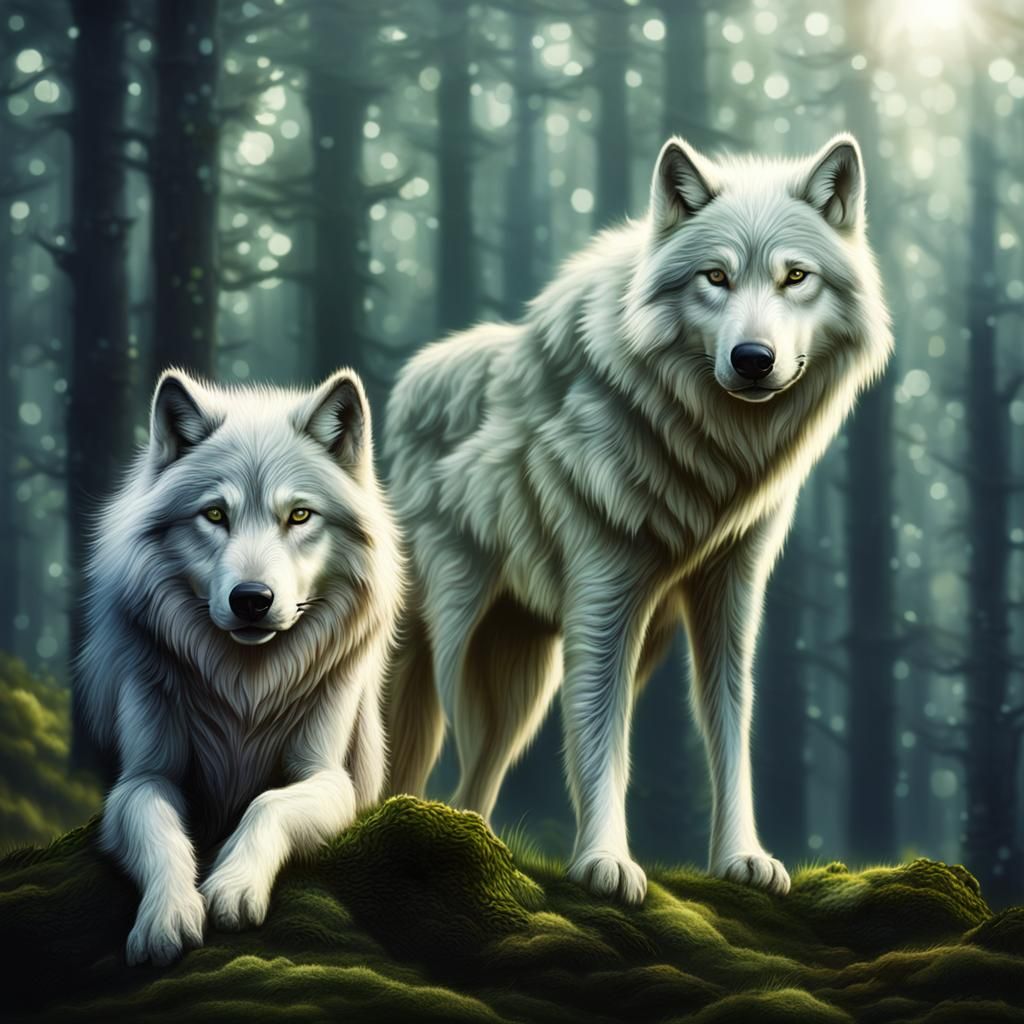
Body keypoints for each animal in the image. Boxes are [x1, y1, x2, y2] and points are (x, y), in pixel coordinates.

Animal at [76, 369, 403, 965]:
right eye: (214, 514)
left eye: (299, 515)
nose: (252, 598)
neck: (245, 689)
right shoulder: (141, 779)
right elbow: (160, 827)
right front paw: (165, 916)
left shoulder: (328, 777)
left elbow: (268, 803)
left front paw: (233, 884)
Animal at [385, 134, 891, 904]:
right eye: (715, 277)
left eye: (795, 277)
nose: (753, 359)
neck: (708, 445)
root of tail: (407, 384)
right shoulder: (604, 592)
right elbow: (602, 736)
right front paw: (604, 862)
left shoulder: (731, 589)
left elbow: (730, 725)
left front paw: (741, 856)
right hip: (448, 648)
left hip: (517, 683)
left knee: (478, 774)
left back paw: (473, 841)